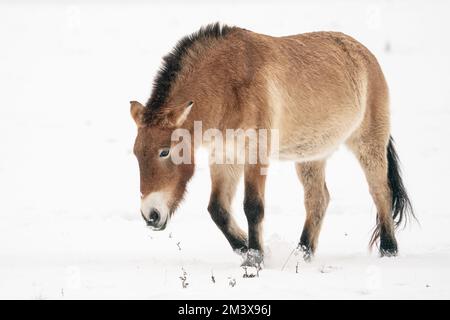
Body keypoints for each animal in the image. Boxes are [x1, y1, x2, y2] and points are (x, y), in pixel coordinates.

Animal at [128, 22, 414, 266]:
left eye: (164, 151)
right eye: (136, 154)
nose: (150, 215)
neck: (227, 86)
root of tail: (365, 54)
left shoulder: (256, 153)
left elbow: (253, 207)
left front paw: (255, 259)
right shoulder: (224, 155)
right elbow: (218, 209)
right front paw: (244, 246)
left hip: (368, 143)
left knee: (381, 191)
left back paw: (389, 250)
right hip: (311, 156)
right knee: (317, 200)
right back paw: (302, 254)